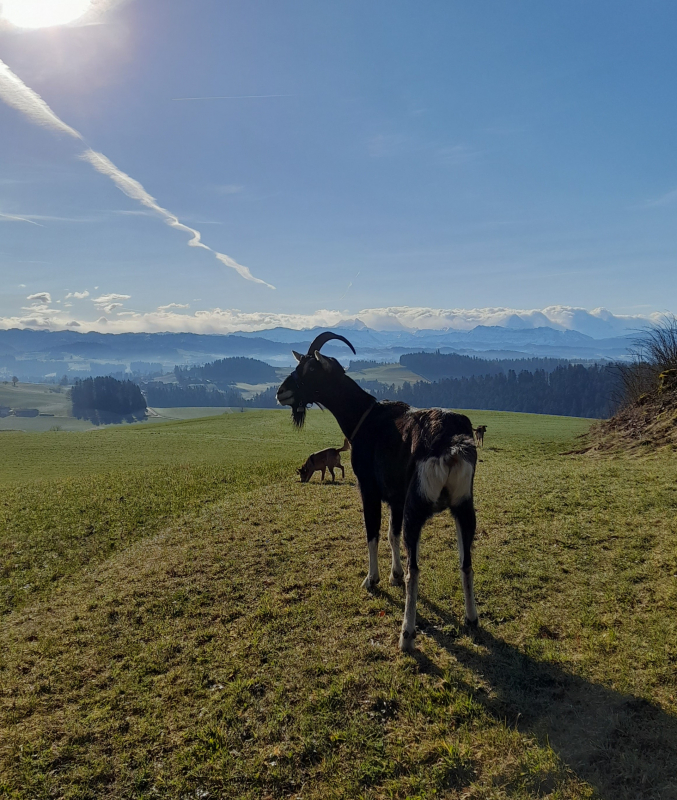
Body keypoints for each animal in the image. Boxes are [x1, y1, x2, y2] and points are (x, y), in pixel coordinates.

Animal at [278, 332, 478, 648]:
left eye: (310, 369)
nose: (281, 392)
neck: (364, 416)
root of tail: (451, 444)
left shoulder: (369, 489)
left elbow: (371, 533)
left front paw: (372, 579)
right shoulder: (396, 497)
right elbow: (390, 534)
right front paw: (393, 574)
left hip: (417, 508)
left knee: (415, 570)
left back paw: (406, 634)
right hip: (464, 504)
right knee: (466, 562)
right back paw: (471, 619)